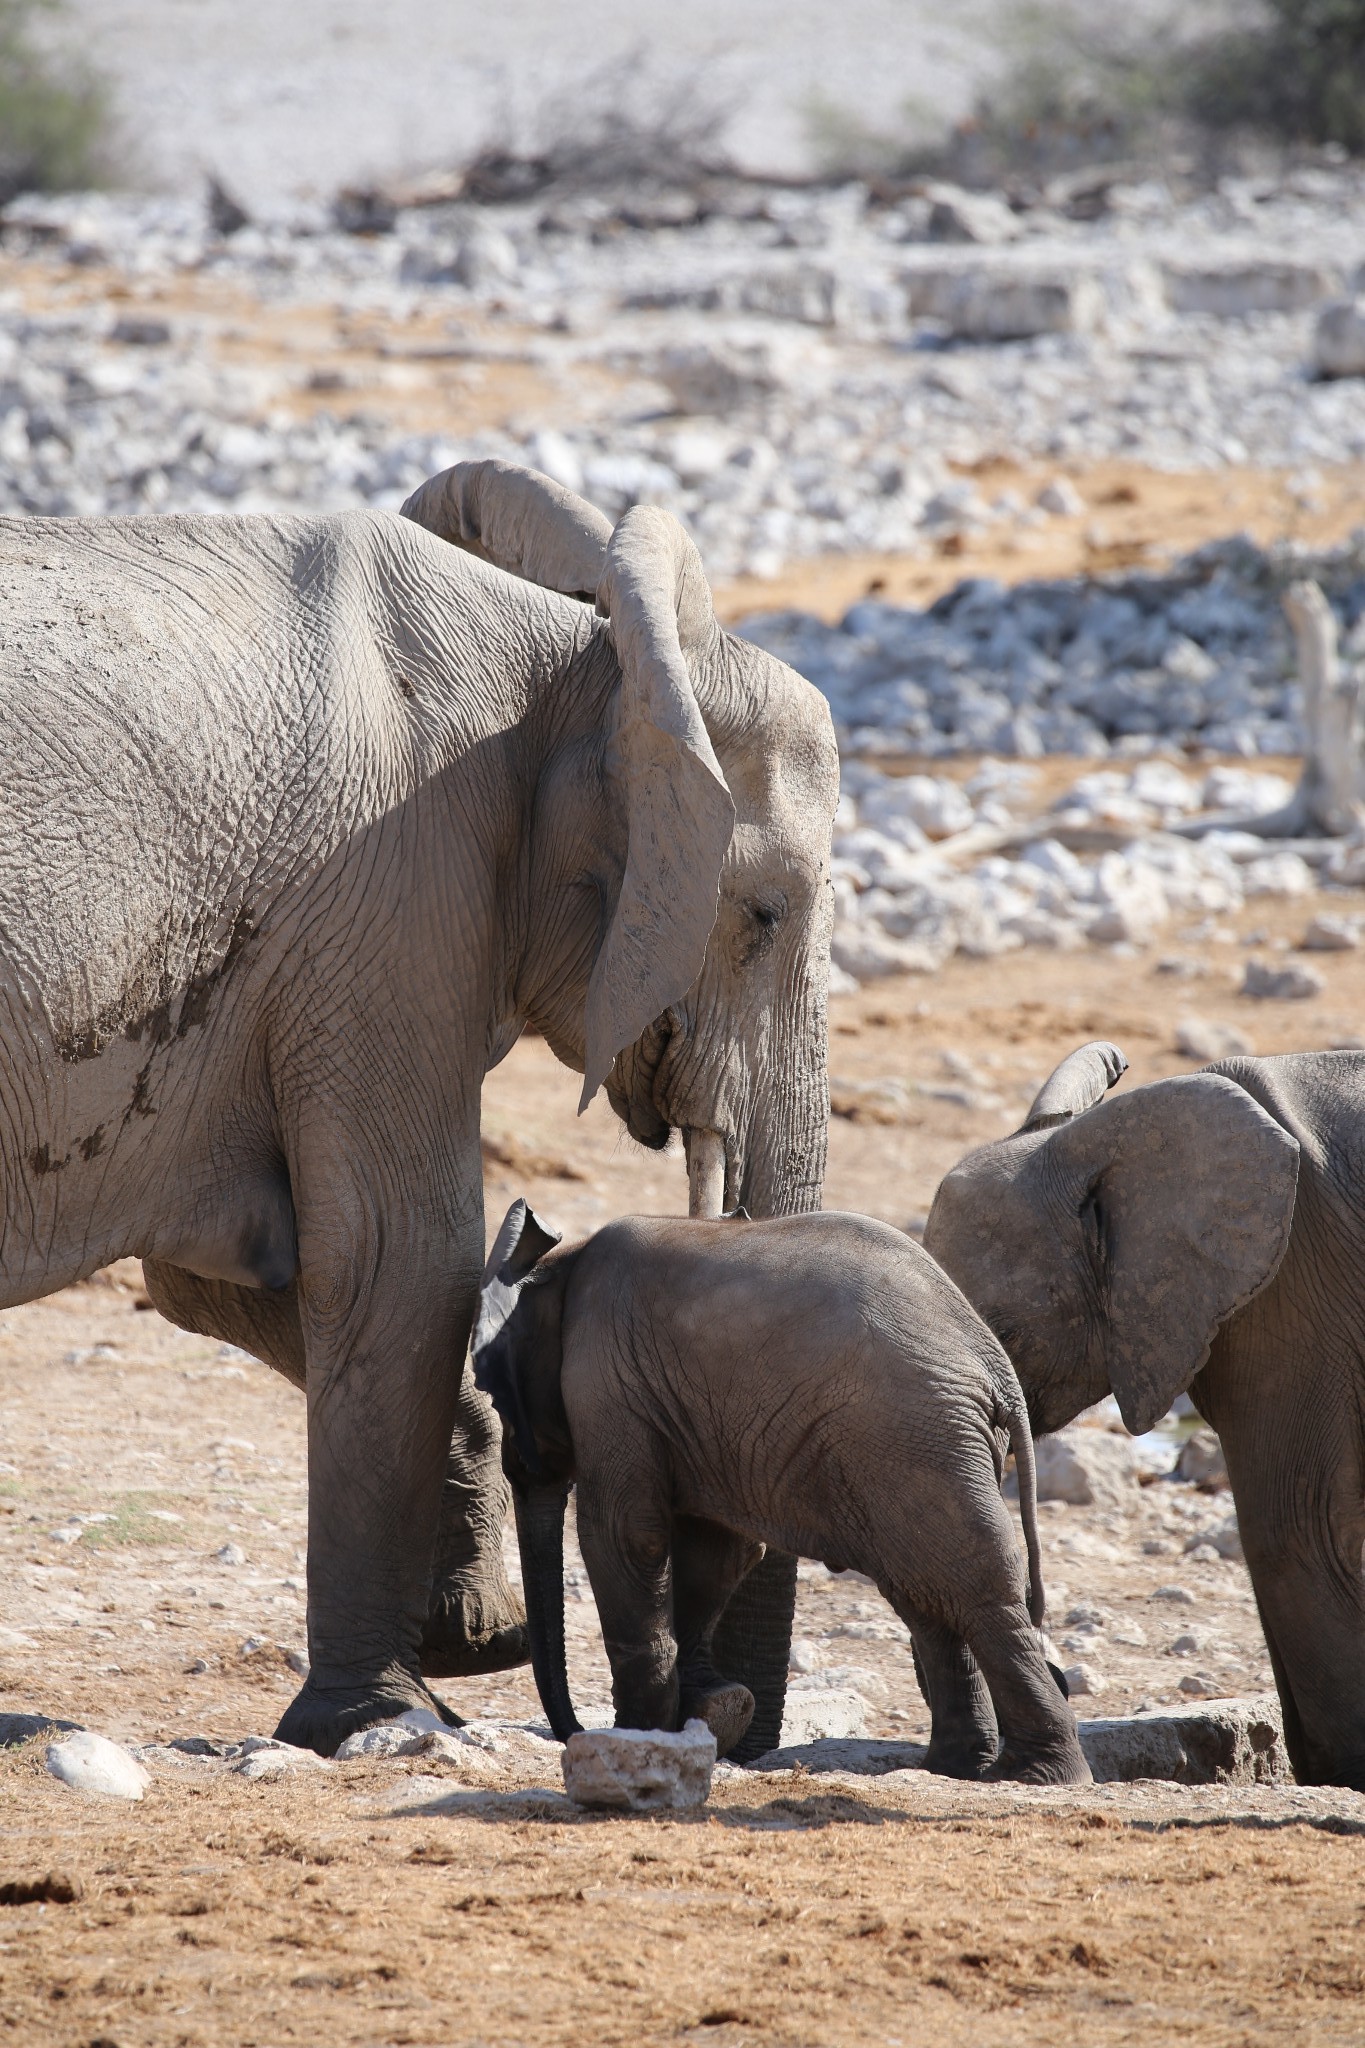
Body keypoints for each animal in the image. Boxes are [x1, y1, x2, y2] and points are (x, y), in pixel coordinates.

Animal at [0, 464, 839, 1761]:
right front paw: (385, 1720)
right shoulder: (394, 889)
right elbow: (399, 1258)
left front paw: (467, 1642)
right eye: (762, 915)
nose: (727, 1716)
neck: (579, 664)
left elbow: (233, 1279)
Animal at [470, 1196, 1088, 1785]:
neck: (562, 1264)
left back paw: (1033, 1775)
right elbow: (717, 1549)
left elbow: (624, 1534)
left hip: (916, 1437)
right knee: (926, 1594)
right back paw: (954, 1768)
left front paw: (637, 1736)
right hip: (920, 1447)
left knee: (974, 1589)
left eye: (496, 1396)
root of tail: (997, 1370)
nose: (570, 1731)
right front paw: (716, 1712)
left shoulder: (608, 1379)